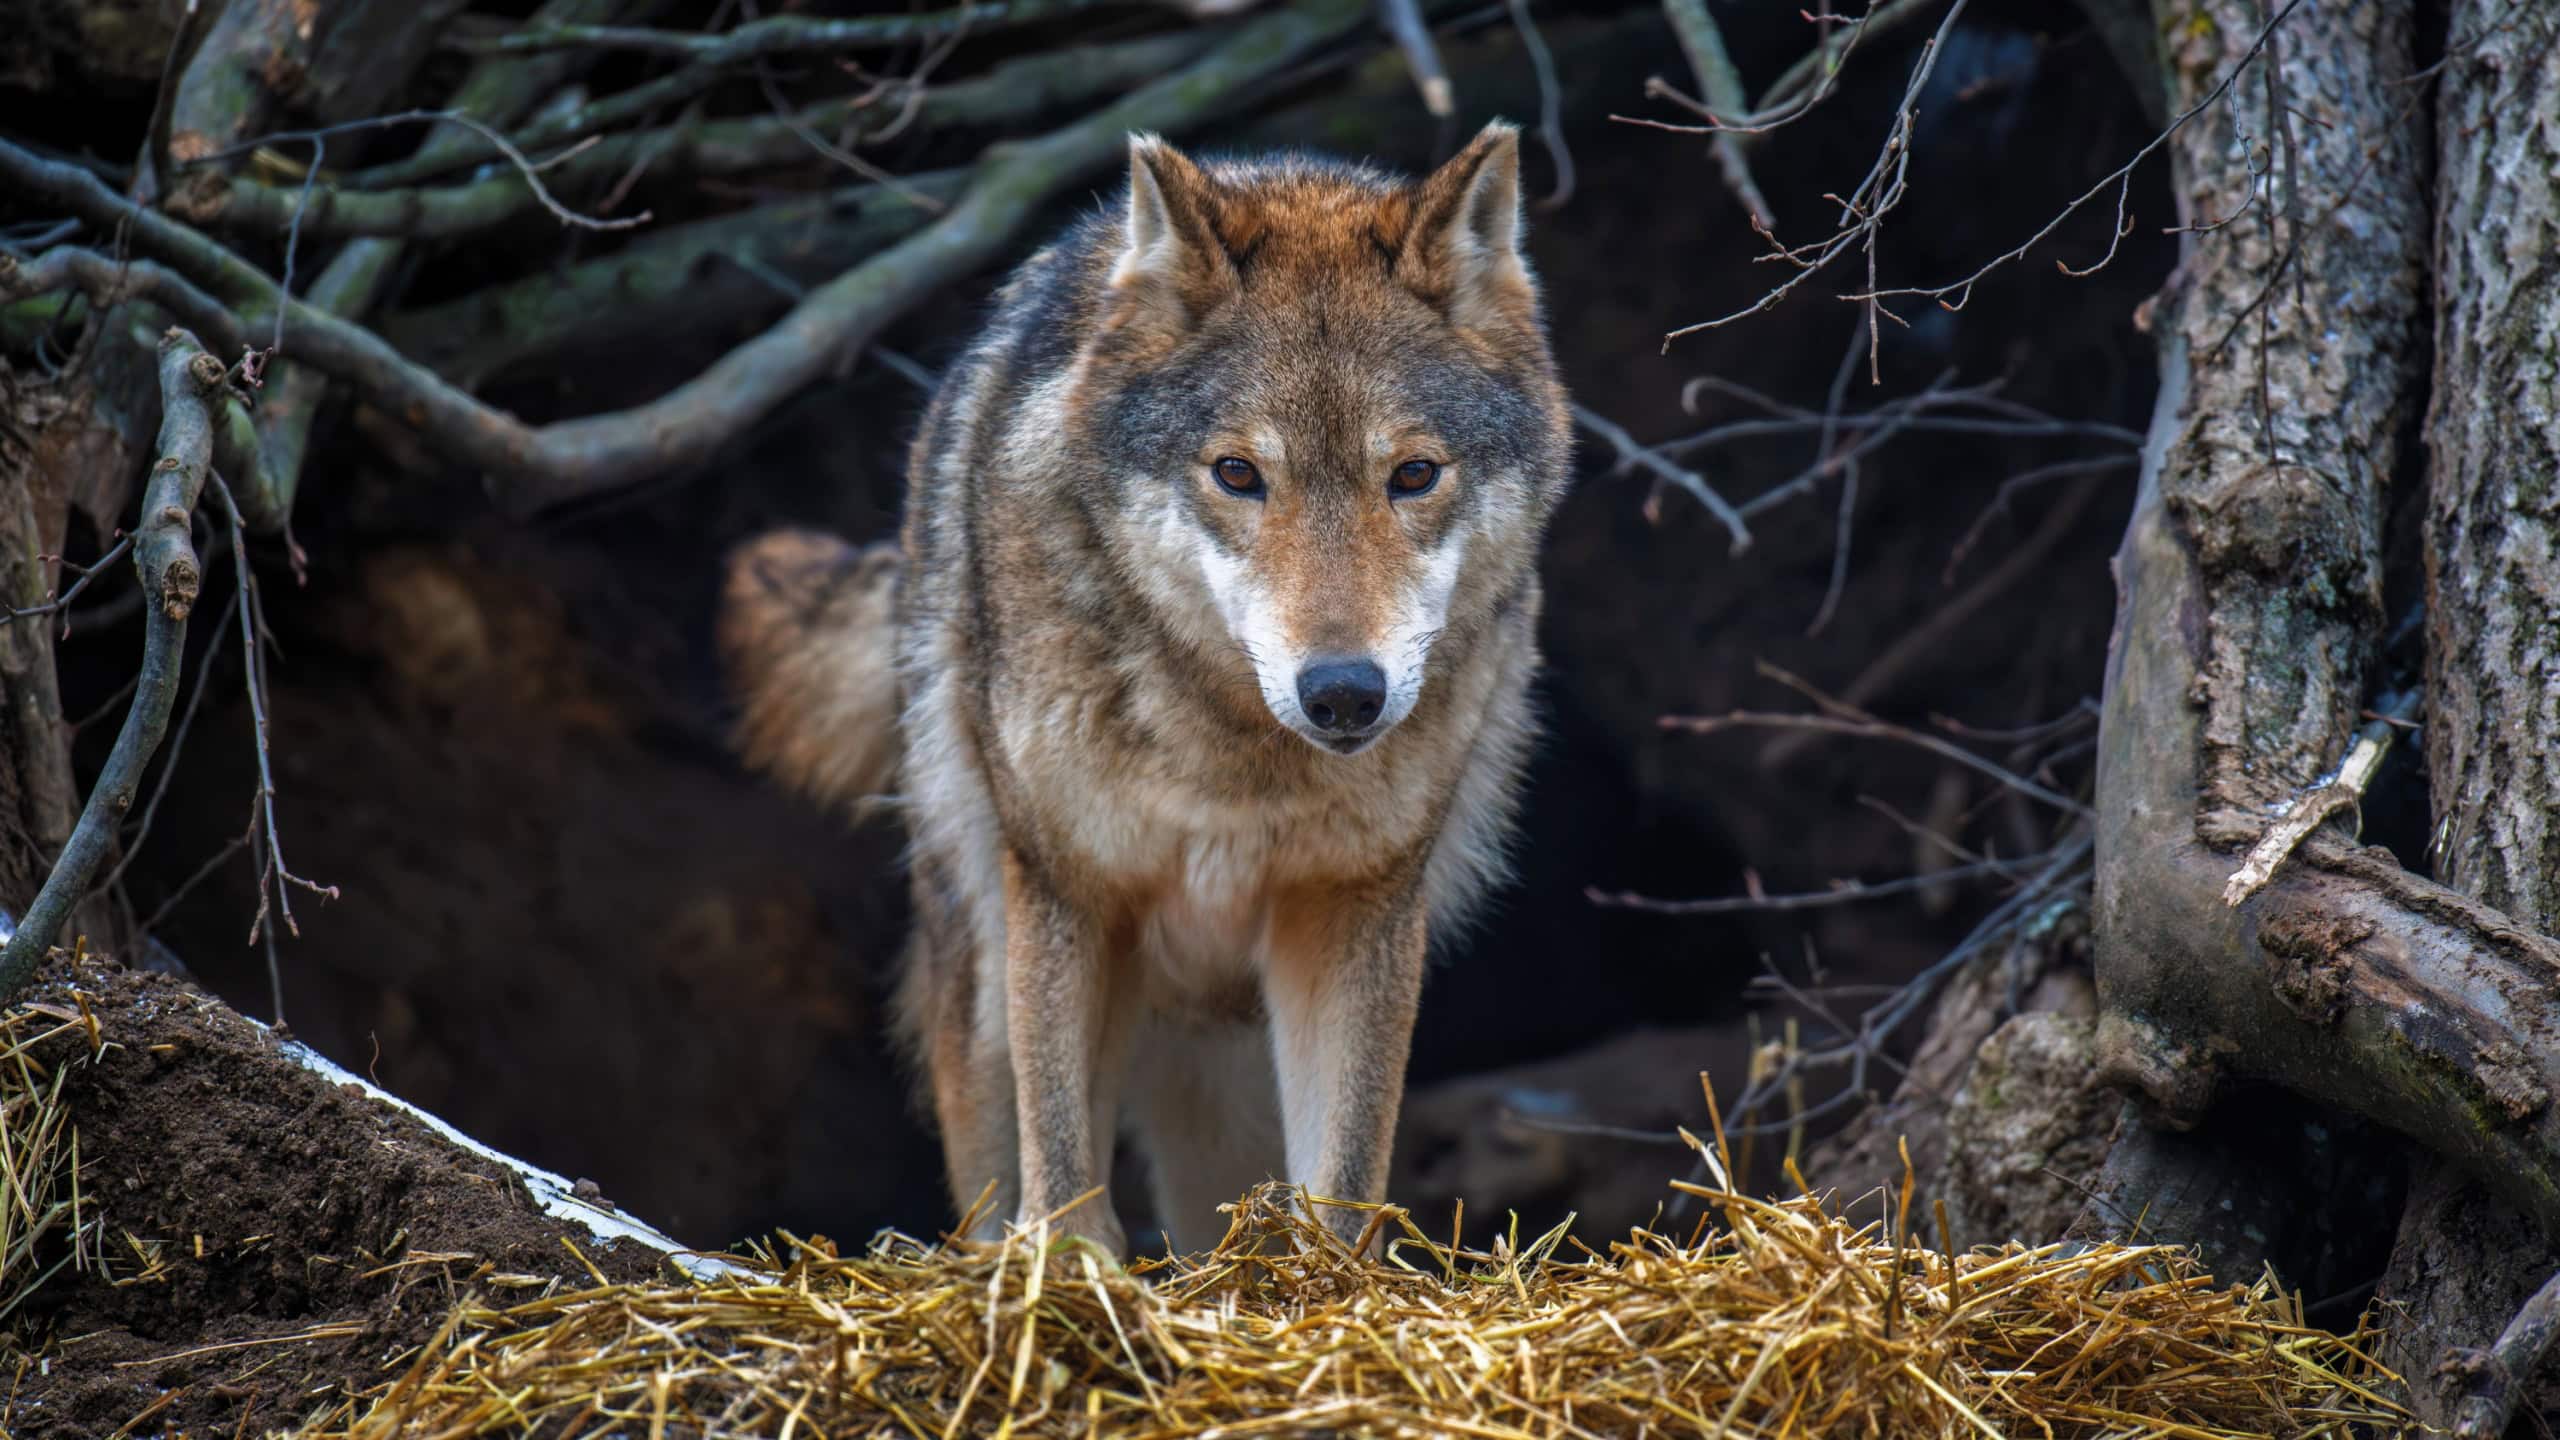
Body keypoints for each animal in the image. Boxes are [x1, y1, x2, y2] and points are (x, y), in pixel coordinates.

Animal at [720, 121, 1572, 1256]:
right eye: (1238, 475)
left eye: (1414, 476)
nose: (1344, 692)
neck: (1235, 761)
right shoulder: (1069, 891)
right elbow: (1061, 1157)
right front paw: (1067, 1275)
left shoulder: (1356, 906)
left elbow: (1346, 1174)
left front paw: (1329, 1284)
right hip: (984, 960)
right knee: (994, 1159)